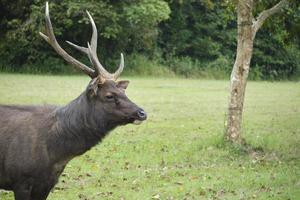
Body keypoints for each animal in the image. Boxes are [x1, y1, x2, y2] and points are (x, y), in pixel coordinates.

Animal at [0, 2, 146, 199]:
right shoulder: (20, 180)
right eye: (109, 95)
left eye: (123, 91)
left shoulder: (47, 184)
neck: (55, 155)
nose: (142, 112)